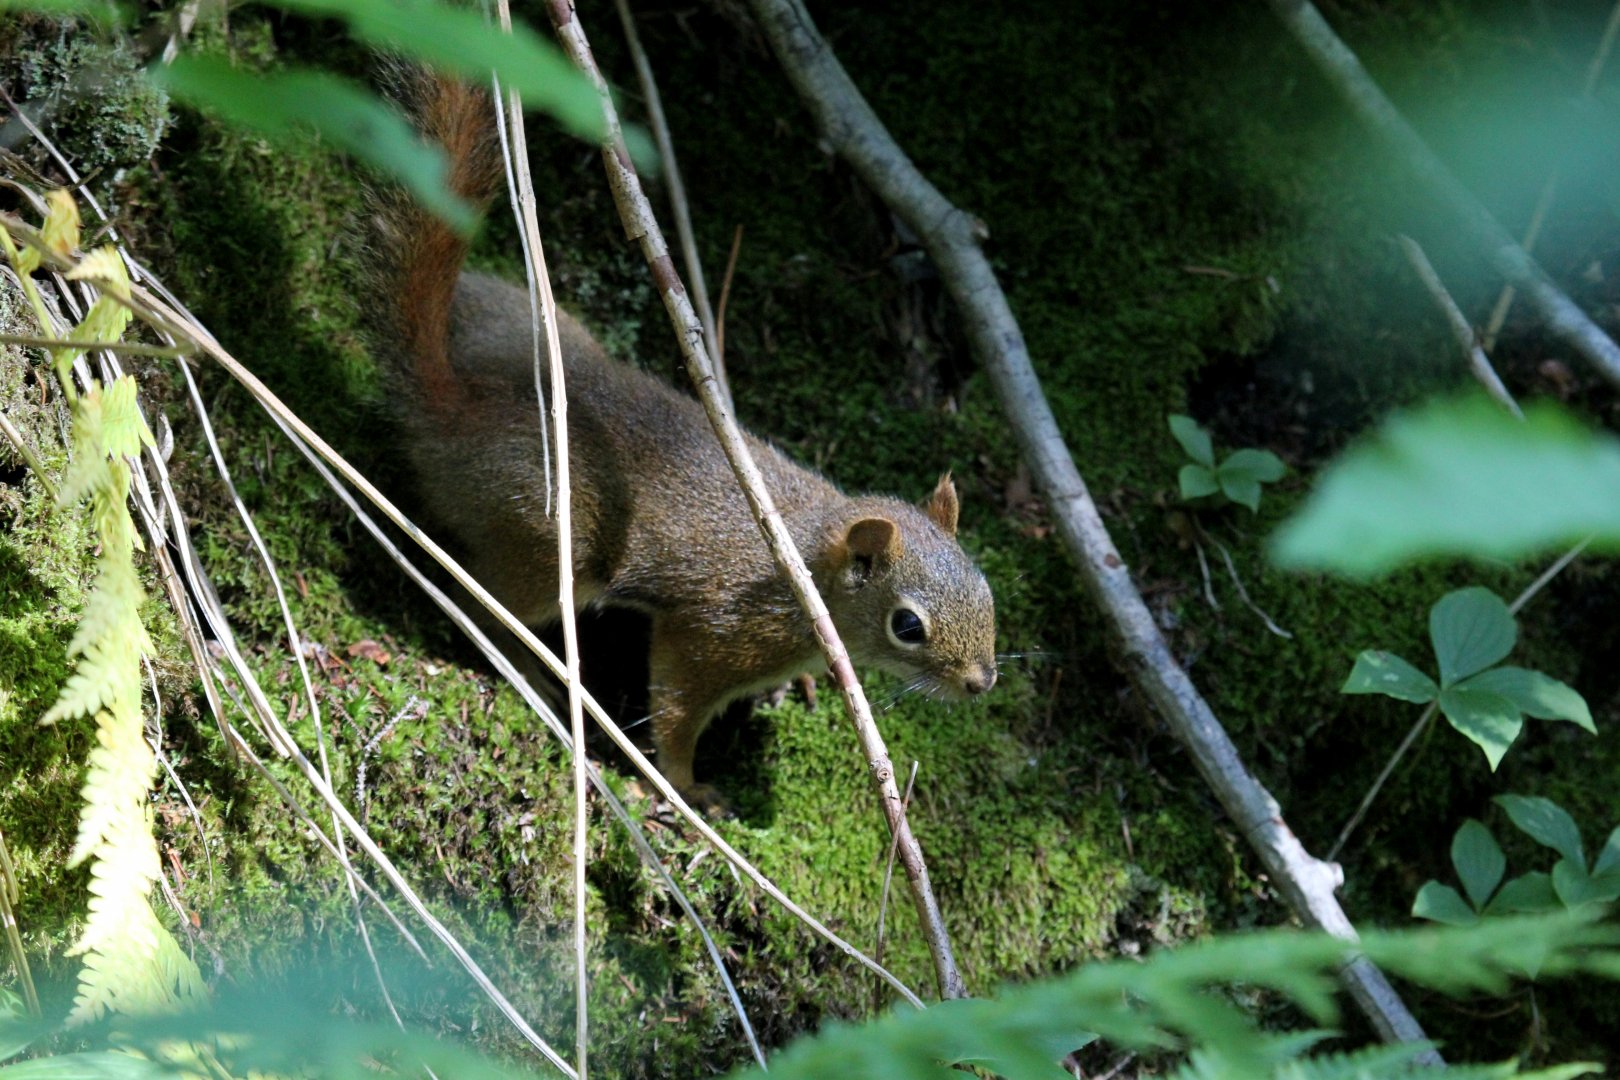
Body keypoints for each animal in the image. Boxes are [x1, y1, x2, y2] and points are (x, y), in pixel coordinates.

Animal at [368, 73, 998, 811]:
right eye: (908, 626)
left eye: (987, 591)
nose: (981, 683)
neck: (808, 566)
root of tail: (450, 408)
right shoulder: (720, 632)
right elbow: (675, 702)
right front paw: (687, 785)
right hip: (546, 541)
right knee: (483, 606)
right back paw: (539, 674)